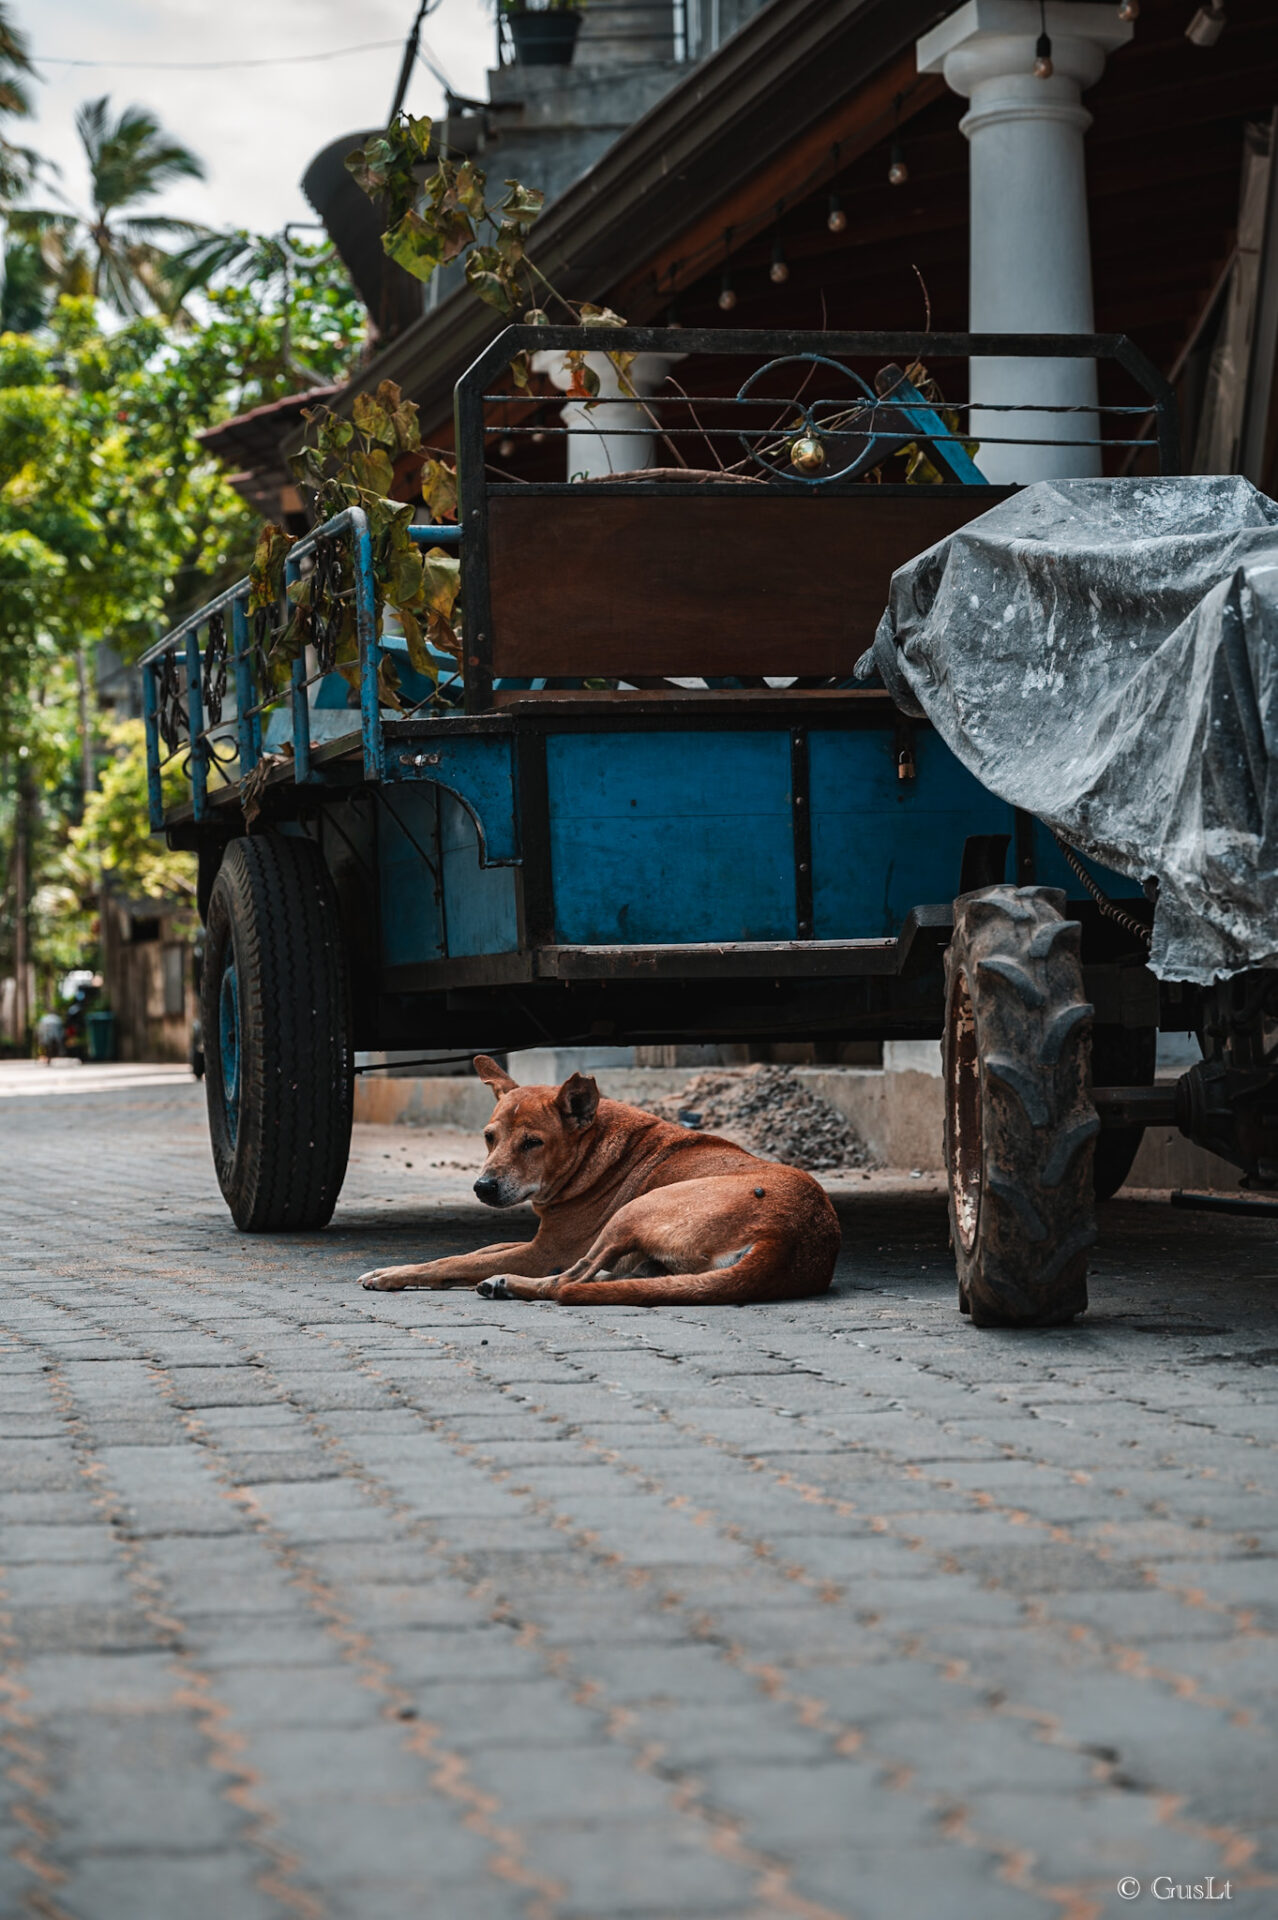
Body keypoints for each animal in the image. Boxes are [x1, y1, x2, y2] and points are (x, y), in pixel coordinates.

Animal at [358, 1052, 836, 1305]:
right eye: (488, 1138)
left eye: (533, 1143)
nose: (483, 1187)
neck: (593, 1150)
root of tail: (786, 1238)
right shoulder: (538, 1242)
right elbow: (479, 1250)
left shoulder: (544, 1251)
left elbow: (454, 1262)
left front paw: (396, 1274)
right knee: (611, 1279)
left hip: (633, 1211)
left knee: (568, 1283)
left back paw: (508, 1284)